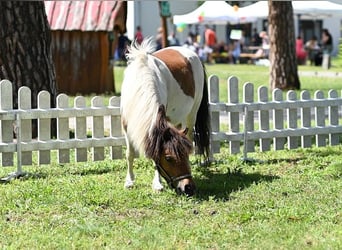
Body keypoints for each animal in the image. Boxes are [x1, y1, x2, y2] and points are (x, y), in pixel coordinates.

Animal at [120, 37, 211, 197]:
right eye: (168, 158)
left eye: (186, 154)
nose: (189, 188)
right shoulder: (126, 125)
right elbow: (130, 154)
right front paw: (129, 182)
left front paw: (157, 184)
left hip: (192, 114)